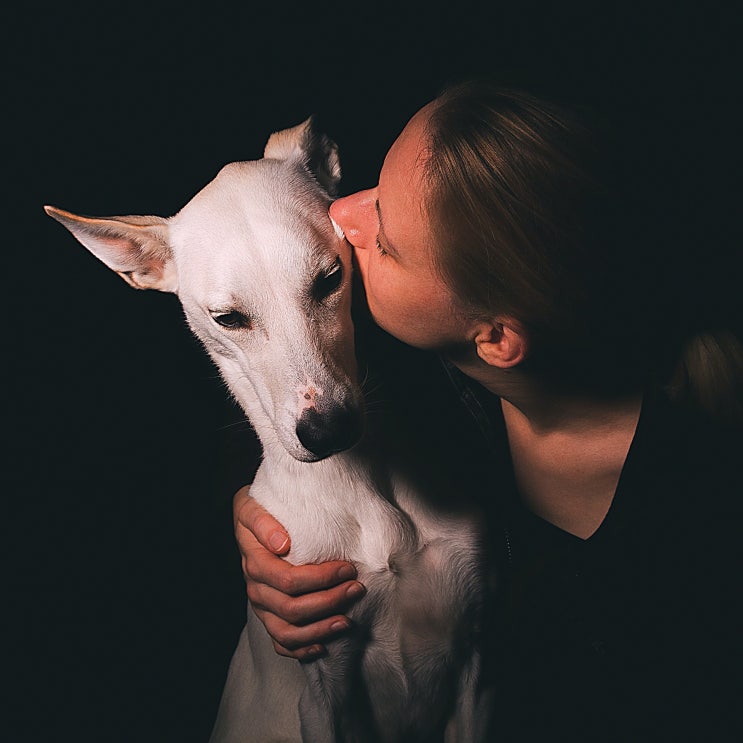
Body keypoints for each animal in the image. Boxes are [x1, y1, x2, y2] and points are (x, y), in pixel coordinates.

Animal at [46, 122, 488, 743]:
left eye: (331, 278)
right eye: (228, 318)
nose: (328, 430)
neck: (364, 487)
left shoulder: (476, 668)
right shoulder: (323, 687)